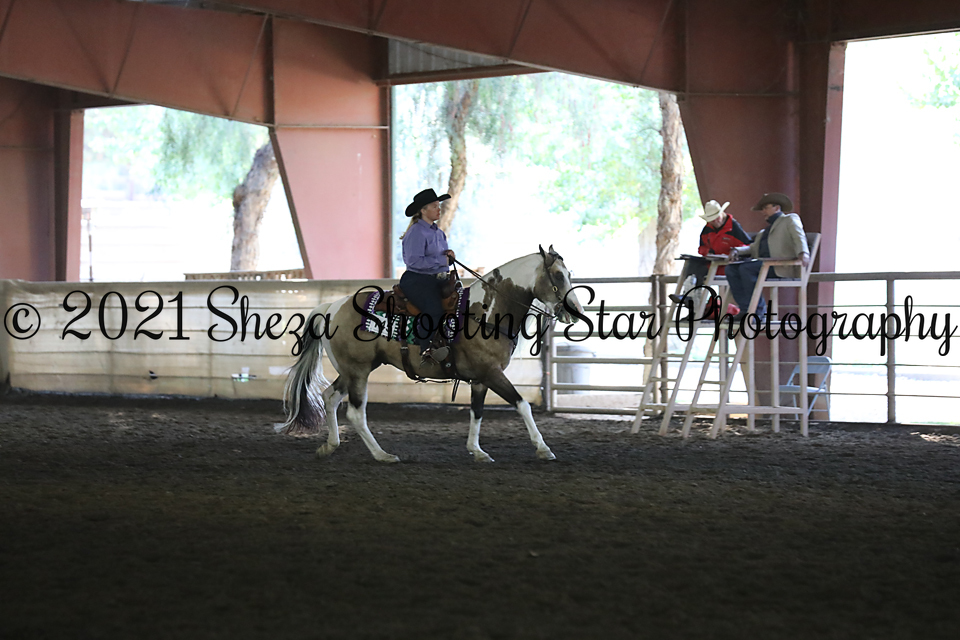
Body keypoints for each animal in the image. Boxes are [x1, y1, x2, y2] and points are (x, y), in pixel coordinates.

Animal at [277, 245, 584, 463]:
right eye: (558, 275)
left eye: (570, 274)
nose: (576, 311)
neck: (485, 313)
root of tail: (331, 307)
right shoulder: (492, 374)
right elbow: (522, 405)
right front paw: (543, 448)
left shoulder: (480, 379)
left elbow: (477, 412)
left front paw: (477, 451)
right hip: (358, 371)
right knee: (355, 412)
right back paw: (382, 455)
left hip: (352, 370)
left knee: (329, 397)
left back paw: (330, 446)